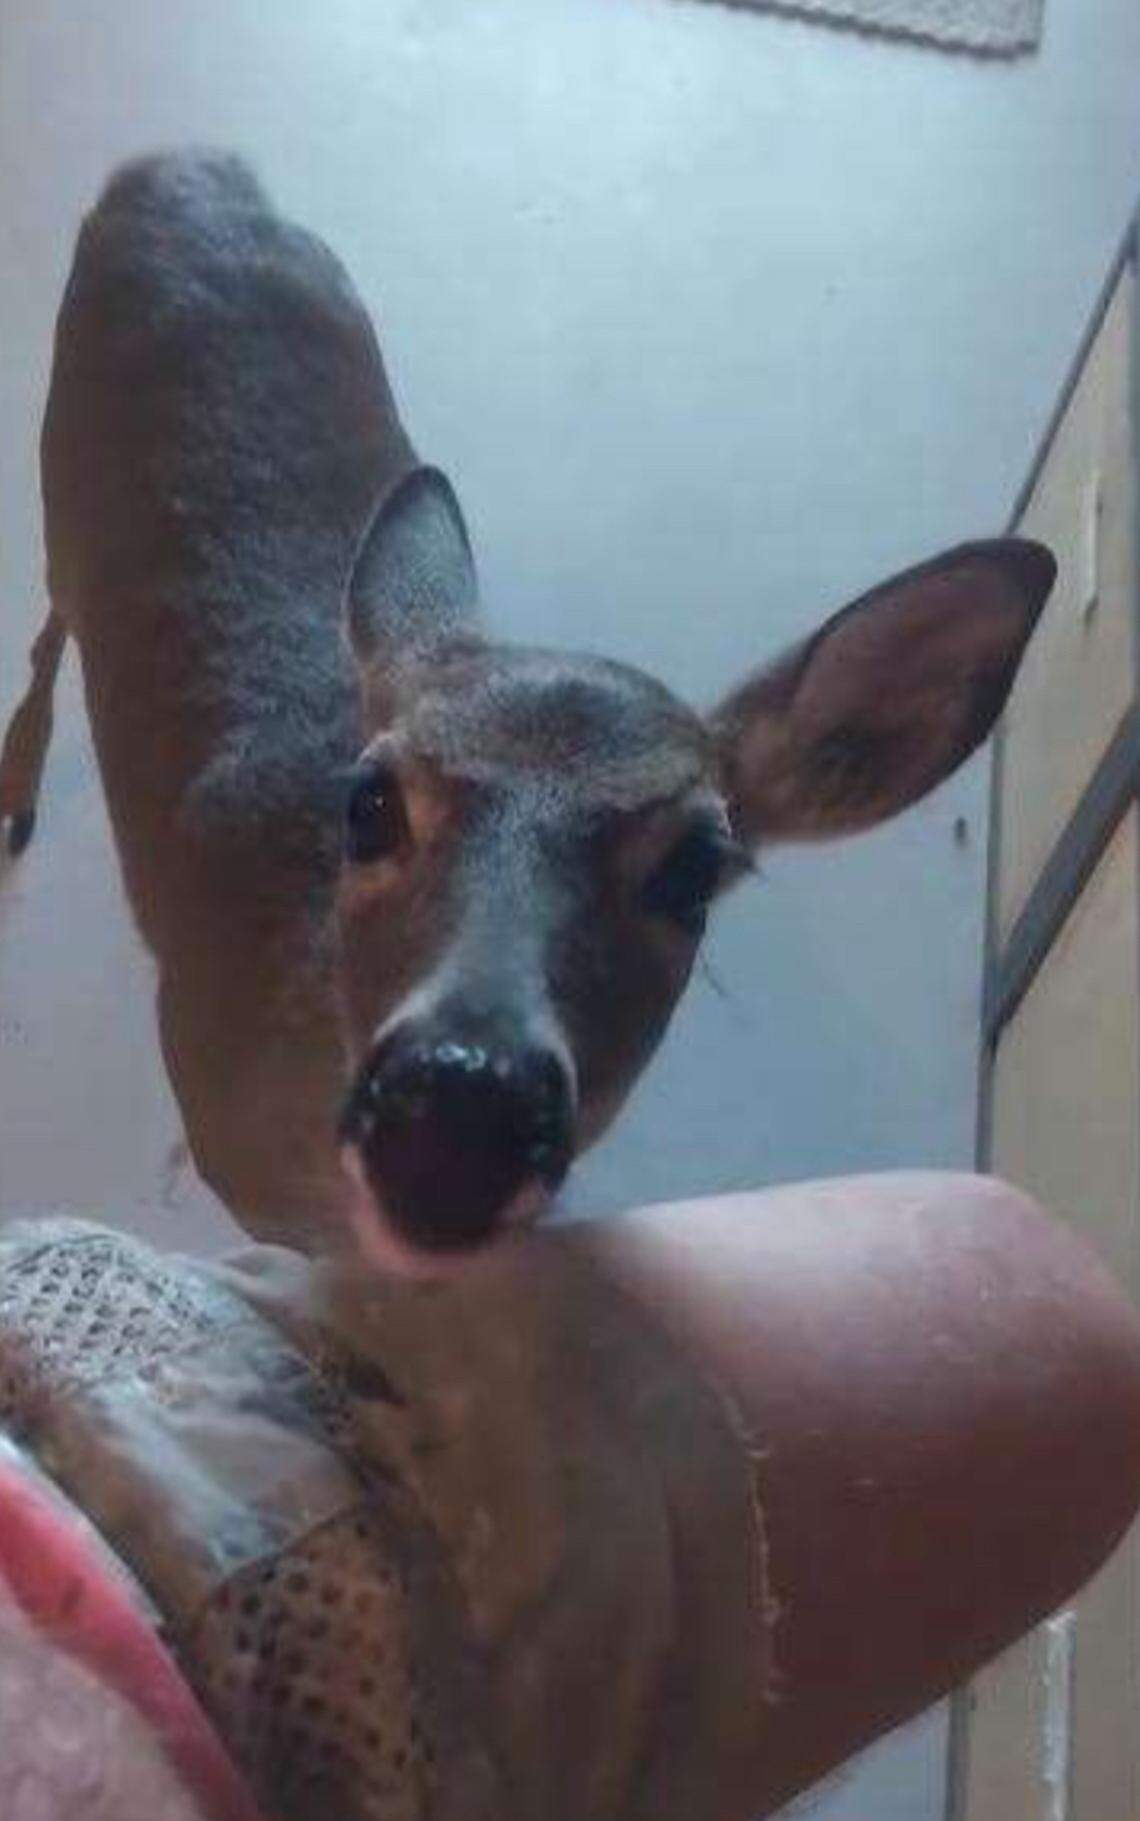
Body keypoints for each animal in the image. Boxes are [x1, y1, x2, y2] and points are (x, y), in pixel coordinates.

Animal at [0, 151, 1054, 1275]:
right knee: (49, 620)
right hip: (56, 471)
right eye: (370, 802)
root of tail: (176, 165)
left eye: (695, 868)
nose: (460, 1113)